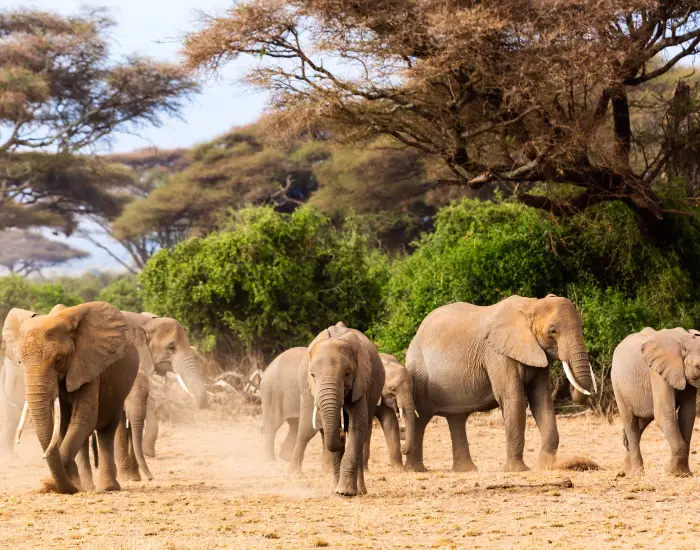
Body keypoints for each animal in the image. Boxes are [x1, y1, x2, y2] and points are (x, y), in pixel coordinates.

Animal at [2, 302, 140, 494]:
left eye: (59, 360)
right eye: (20, 362)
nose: (47, 483)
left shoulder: (88, 364)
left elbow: (83, 418)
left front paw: (51, 483)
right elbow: (62, 426)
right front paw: (67, 484)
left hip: (119, 391)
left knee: (106, 431)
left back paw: (107, 487)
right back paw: (87, 486)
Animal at [287, 323, 385, 496]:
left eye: (347, 373)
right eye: (312, 375)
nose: (340, 434)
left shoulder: (361, 383)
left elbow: (357, 427)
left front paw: (345, 492)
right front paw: (336, 492)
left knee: (364, 431)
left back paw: (361, 490)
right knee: (306, 429)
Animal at [405, 294, 596, 473]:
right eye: (553, 331)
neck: (530, 305)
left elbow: (541, 401)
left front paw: (544, 466)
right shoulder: (497, 354)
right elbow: (513, 399)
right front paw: (519, 470)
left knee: (456, 418)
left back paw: (466, 470)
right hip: (418, 373)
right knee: (421, 418)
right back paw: (415, 470)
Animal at [612, 327, 700, 476]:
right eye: (699, 367)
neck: (686, 340)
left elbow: (687, 415)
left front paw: (683, 474)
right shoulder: (658, 373)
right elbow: (664, 414)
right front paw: (673, 473)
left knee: (642, 423)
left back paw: (625, 471)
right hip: (617, 384)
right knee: (630, 422)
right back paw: (637, 474)